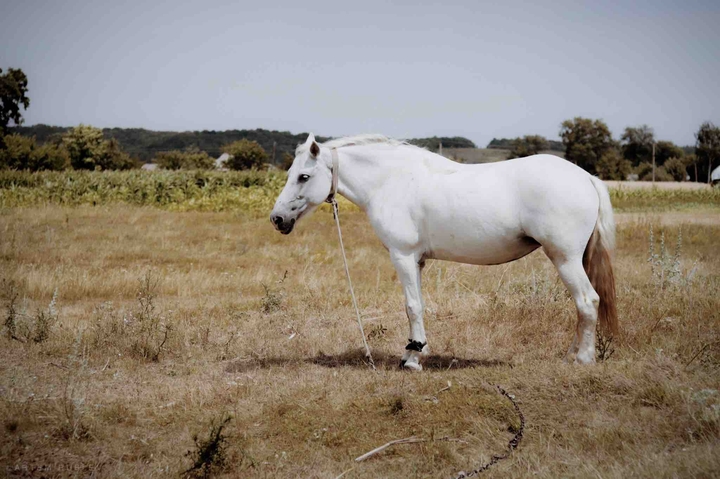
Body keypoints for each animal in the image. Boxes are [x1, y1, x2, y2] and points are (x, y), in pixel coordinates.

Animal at [270, 133, 618, 370]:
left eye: (303, 176)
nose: (277, 219)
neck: (392, 181)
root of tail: (586, 177)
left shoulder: (402, 256)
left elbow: (412, 306)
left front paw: (412, 359)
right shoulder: (418, 261)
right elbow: (418, 305)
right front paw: (416, 350)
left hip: (565, 259)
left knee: (587, 302)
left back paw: (582, 358)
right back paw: (571, 354)